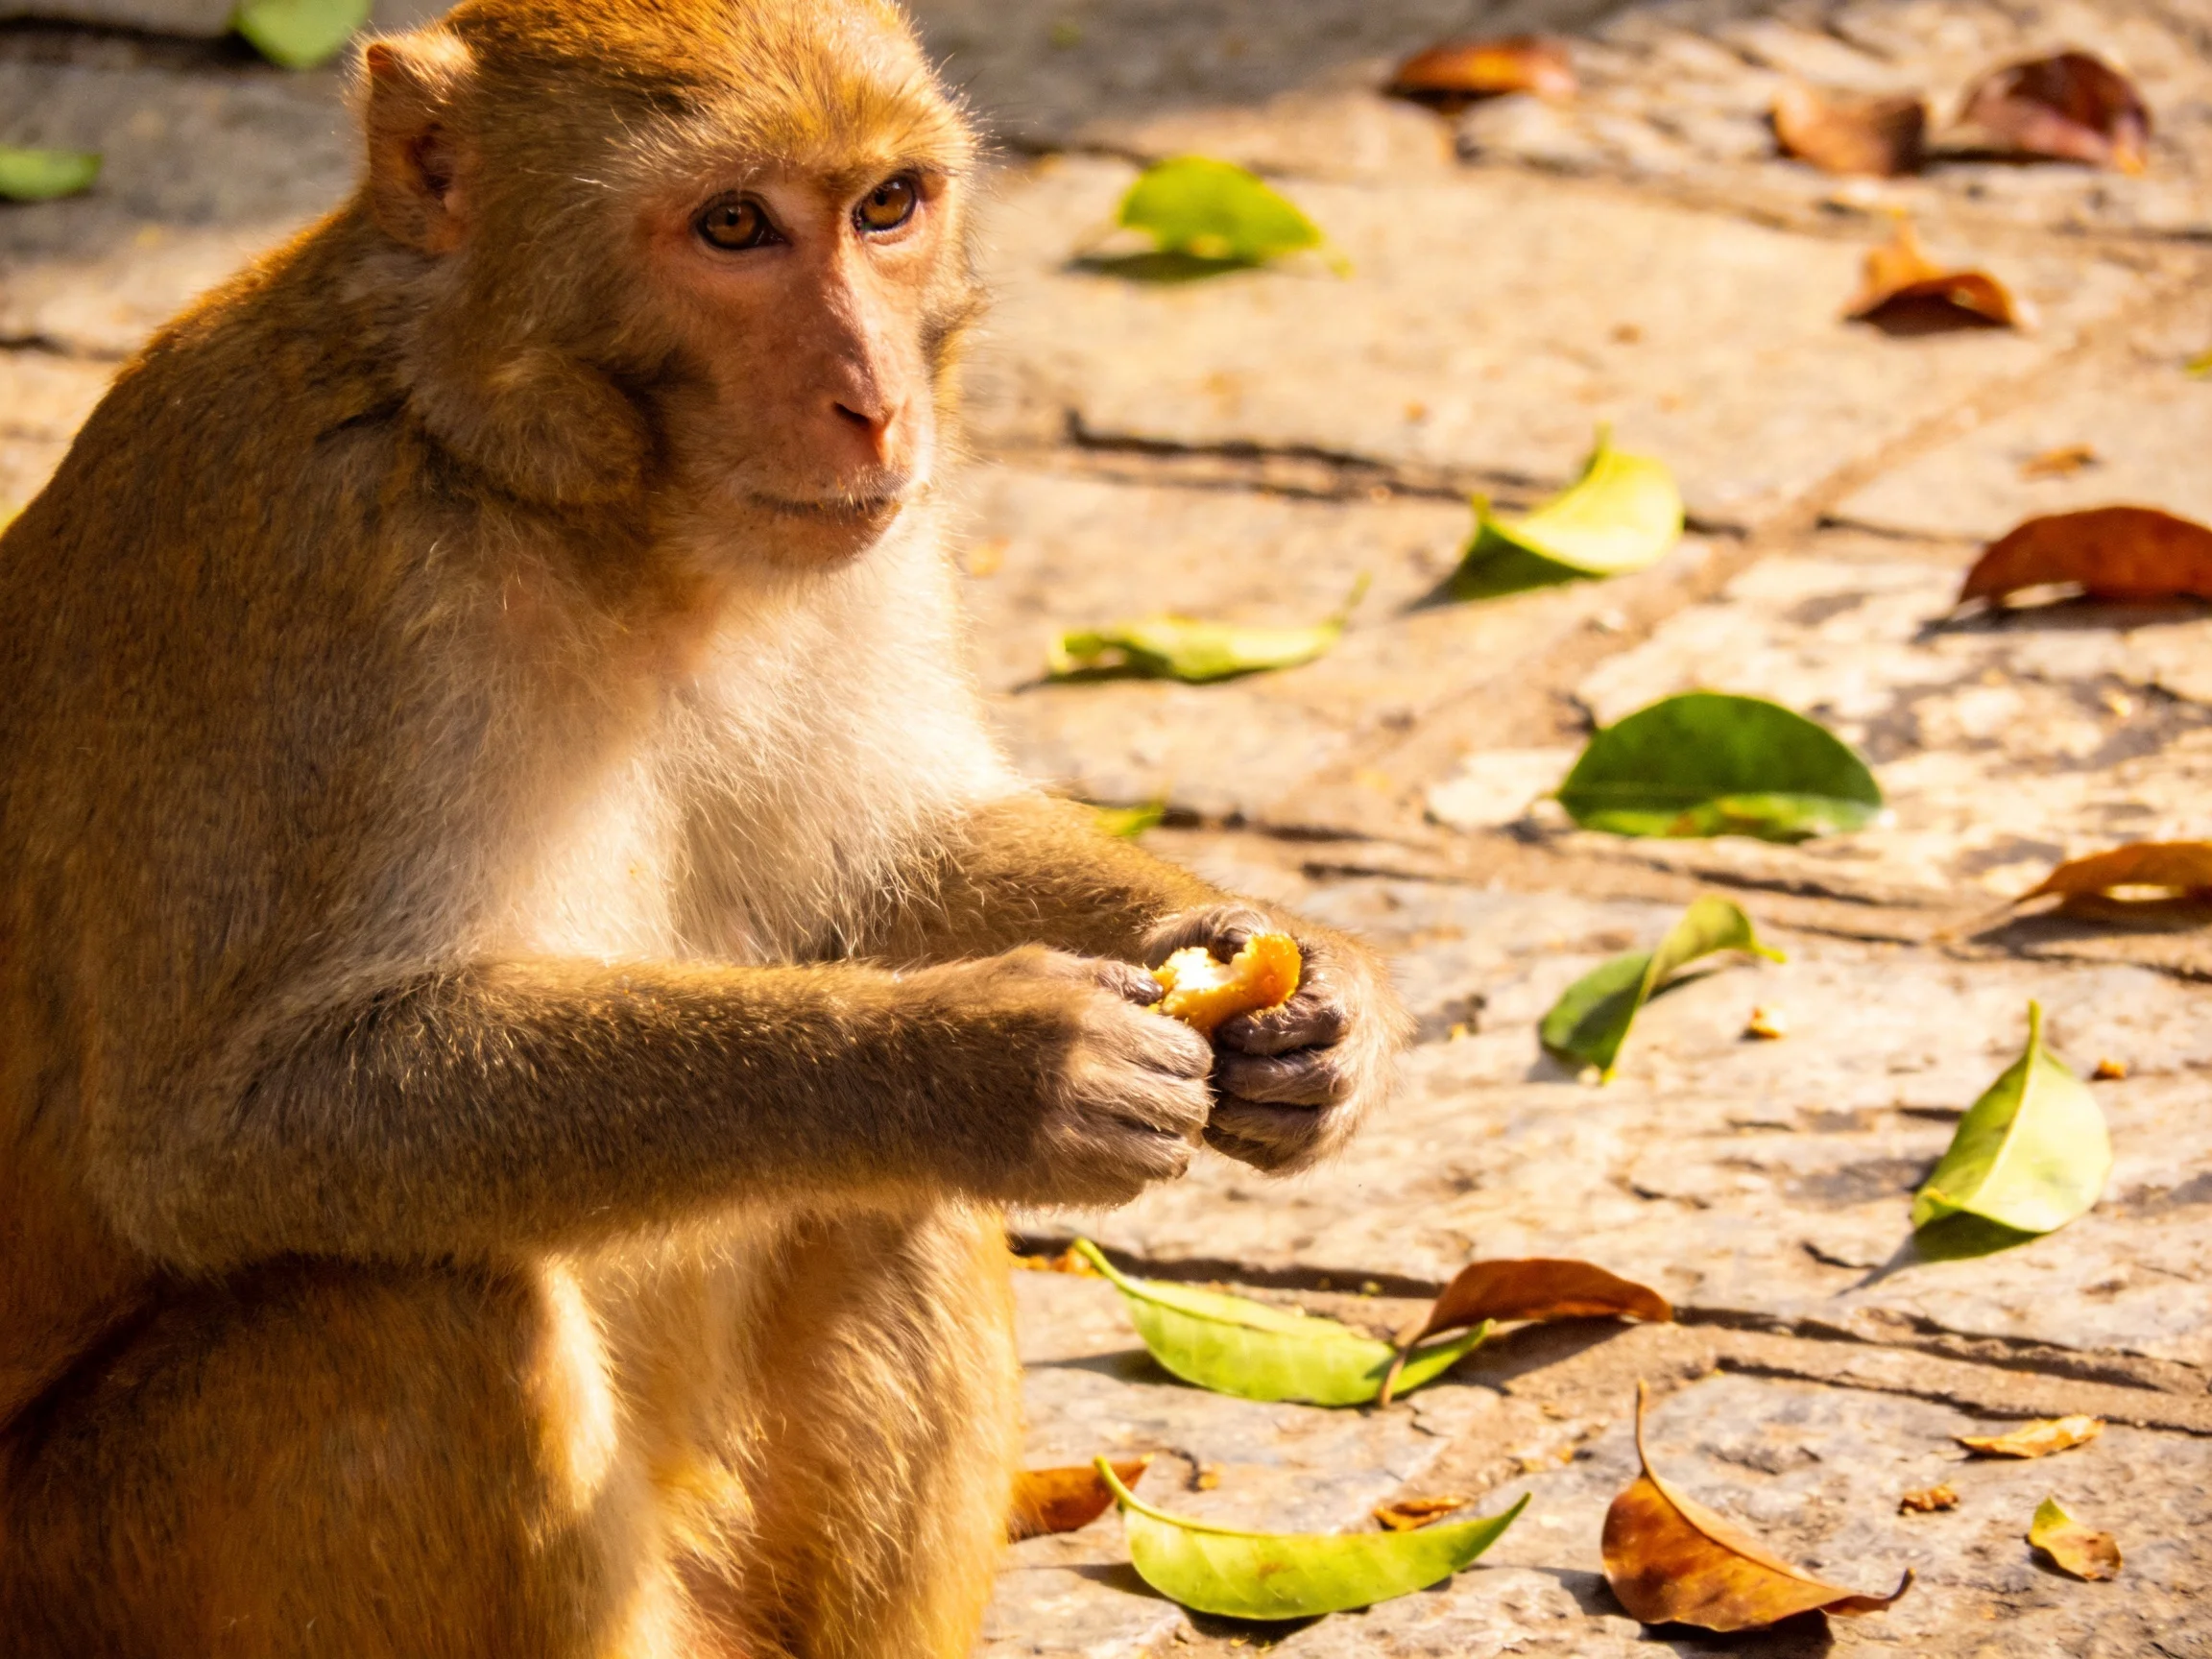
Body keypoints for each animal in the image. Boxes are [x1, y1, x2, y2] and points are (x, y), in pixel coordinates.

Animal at [0, 2, 1410, 1654]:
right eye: (733, 226)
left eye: (887, 207)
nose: (877, 401)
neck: (541, 487)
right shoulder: (307, 566)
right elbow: (212, 1130)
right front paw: (976, 1061)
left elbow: (896, 860)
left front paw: (1309, 990)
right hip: (91, 1565)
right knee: (422, 1310)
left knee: (886, 1210)